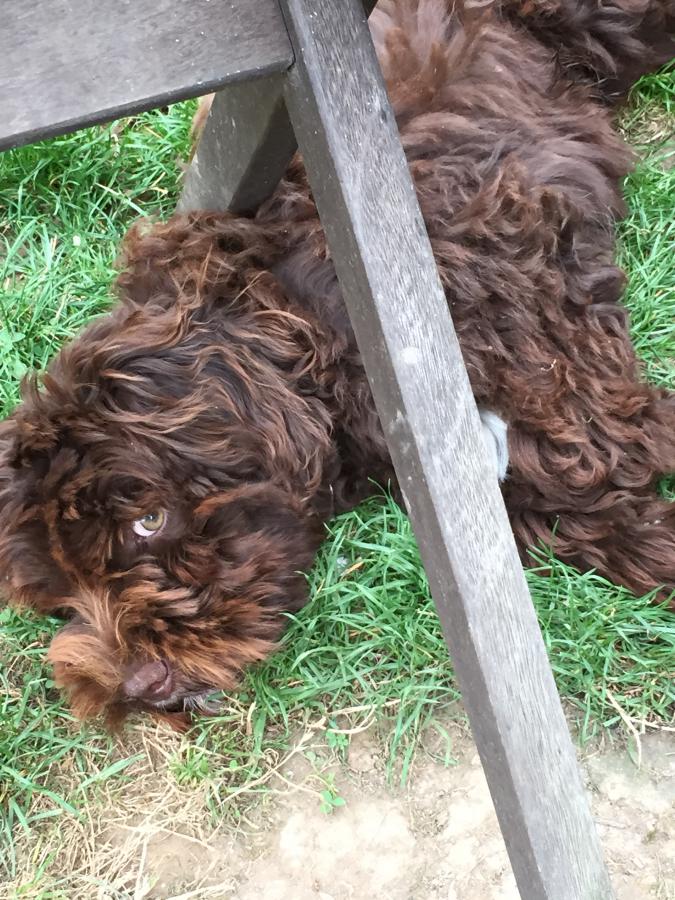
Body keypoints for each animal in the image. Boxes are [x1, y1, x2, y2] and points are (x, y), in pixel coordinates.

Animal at [1, 0, 673, 725]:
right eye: (60, 599)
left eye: (148, 520)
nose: (140, 686)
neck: (284, 303)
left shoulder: (516, 287)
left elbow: (582, 444)